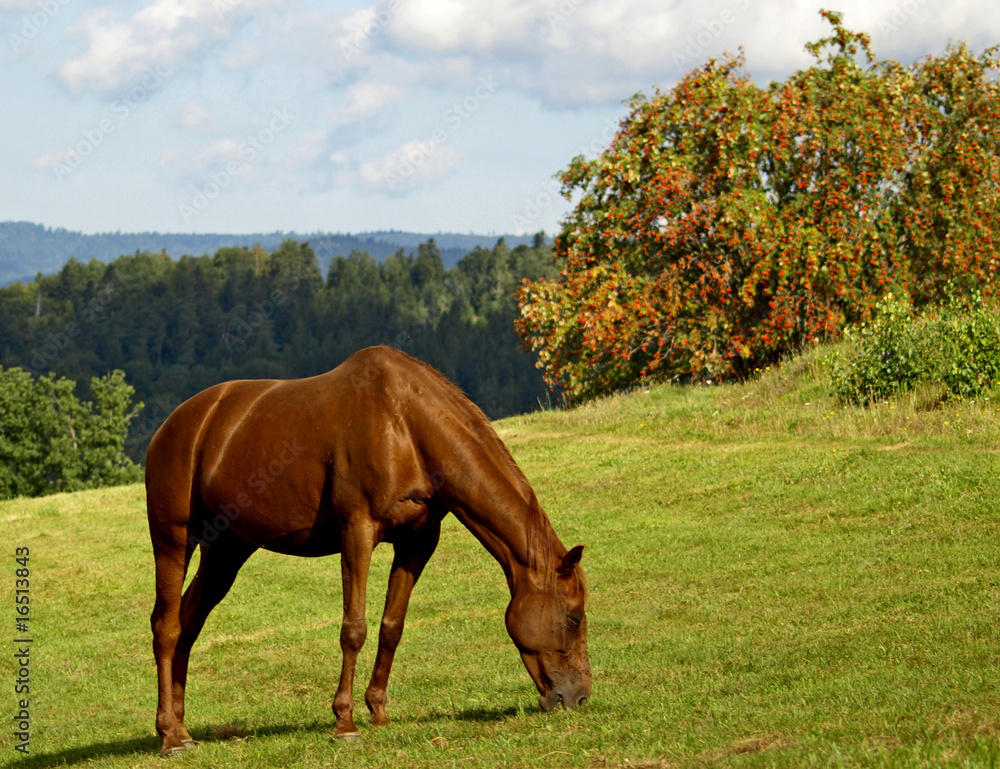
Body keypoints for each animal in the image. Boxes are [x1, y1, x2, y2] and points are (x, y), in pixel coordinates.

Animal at [145, 345, 591, 756]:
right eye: (573, 618)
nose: (579, 697)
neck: (406, 425)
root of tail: (175, 425)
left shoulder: (417, 542)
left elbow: (391, 626)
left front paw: (377, 711)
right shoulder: (357, 532)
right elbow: (354, 629)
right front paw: (344, 722)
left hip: (227, 550)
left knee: (188, 623)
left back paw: (182, 727)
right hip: (173, 539)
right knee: (166, 627)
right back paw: (170, 736)